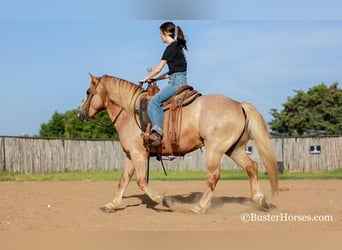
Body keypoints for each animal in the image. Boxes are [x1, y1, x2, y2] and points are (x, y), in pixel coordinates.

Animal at [79, 73, 278, 213]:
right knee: (252, 167)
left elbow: (141, 182)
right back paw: (261, 200)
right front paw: (111, 205)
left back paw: (199, 207)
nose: (80, 114)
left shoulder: (139, 154)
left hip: (215, 150)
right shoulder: (130, 155)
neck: (130, 111)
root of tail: (239, 104)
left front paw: (164, 200)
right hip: (234, 149)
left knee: (214, 176)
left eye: (88, 92)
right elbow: (123, 181)